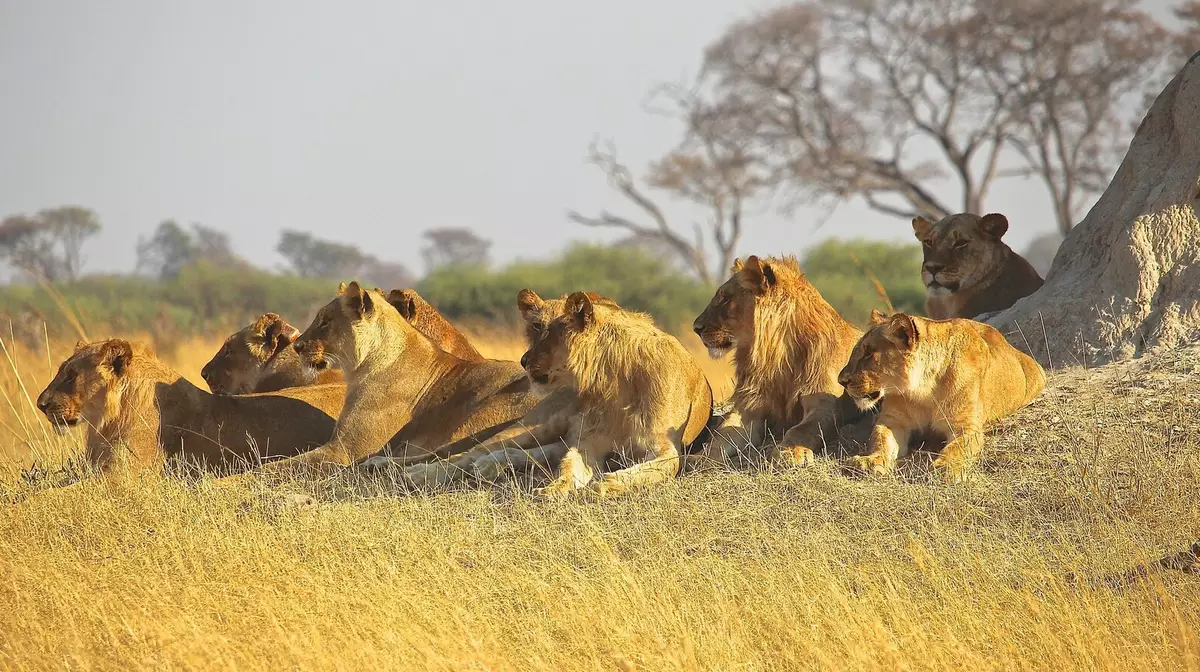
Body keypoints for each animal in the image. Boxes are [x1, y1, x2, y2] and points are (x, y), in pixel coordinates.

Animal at [840, 309, 1046, 482]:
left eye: (868, 354)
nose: (841, 381)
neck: (923, 390)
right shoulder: (893, 421)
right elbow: (880, 439)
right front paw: (869, 461)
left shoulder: (966, 426)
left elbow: (958, 448)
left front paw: (946, 467)